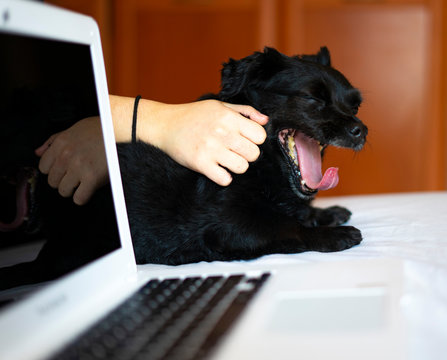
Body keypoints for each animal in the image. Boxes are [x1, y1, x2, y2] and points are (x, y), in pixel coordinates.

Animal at [117, 46, 370, 264]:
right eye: (313, 98)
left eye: (355, 106)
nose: (361, 131)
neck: (260, 165)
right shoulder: (227, 226)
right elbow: (287, 226)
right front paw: (334, 234)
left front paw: (325, 212)